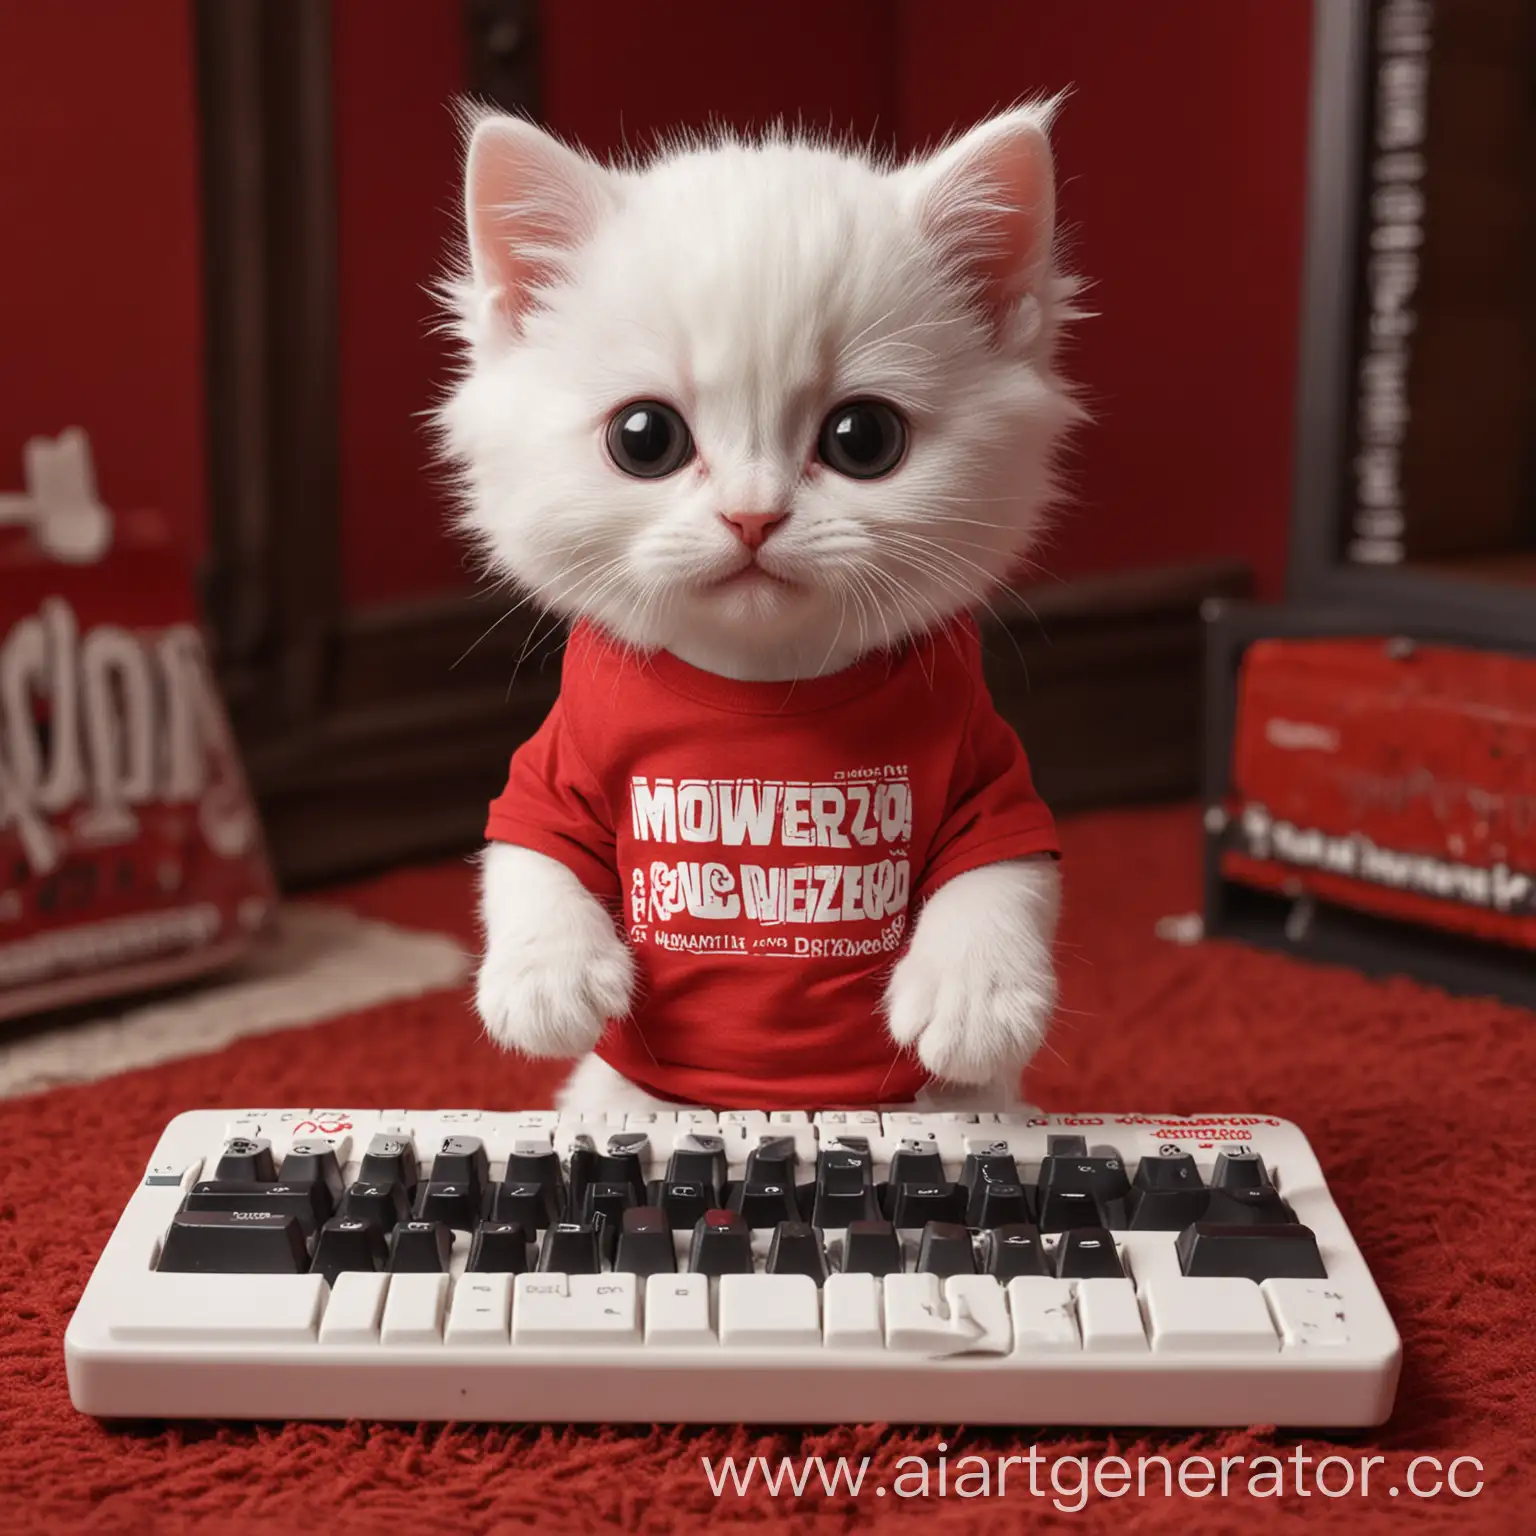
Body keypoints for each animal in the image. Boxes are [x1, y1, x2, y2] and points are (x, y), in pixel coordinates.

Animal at [439, 105, 1087, 1105]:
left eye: (864, 438)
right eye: (645, 439)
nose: (753, 514)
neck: (762, 688)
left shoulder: (991, 772)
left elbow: (1007, 872)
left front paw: (975, 994)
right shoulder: (553, 767)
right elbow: (522, 855)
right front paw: (546, 975)